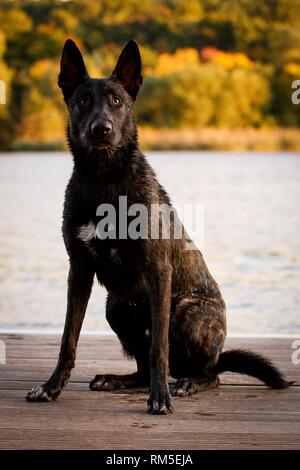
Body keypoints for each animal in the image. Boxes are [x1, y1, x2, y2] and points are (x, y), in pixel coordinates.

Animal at [26, 40, 290, 414]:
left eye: (116, 101)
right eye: (83, 101)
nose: (101, 129)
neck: (105, 180)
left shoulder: (158, 271)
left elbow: (158, 349)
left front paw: (160, 397)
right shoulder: (78, 271)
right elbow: (68, 340)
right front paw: (51, 387)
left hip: (184, 309)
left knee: (208, 372)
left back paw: (187, 382)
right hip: (116, 306)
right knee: (141, 367)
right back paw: (117, 379)